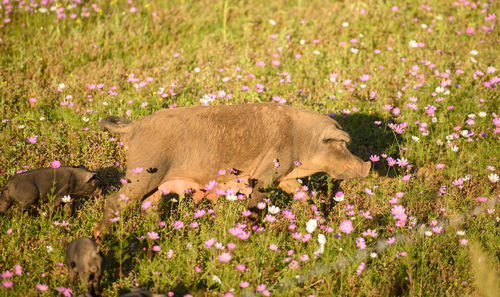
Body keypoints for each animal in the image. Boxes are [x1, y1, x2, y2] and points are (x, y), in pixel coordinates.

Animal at [94, 103, 370, 235]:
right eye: (341, 144)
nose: (367, 166)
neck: (303, 141)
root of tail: (132, 127)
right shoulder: (268, 171)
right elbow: (256, 202)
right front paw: (247, 232)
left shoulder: (284, 177)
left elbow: (304, 194)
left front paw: (320, 220)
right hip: (141, 175)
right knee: (115, 201)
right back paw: (99, 236)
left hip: (155, 184)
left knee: (148, 206)